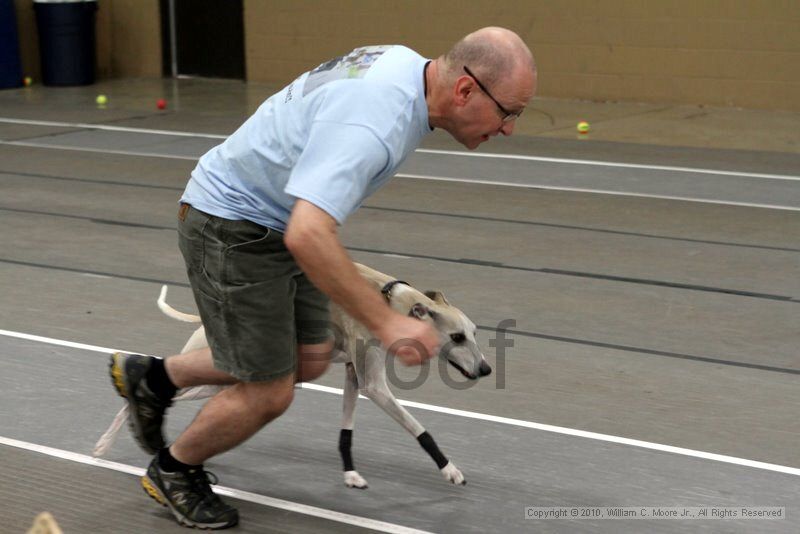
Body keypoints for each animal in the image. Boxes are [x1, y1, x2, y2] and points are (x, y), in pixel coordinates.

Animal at [96, 264, 490, 490]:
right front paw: (449, 469)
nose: (486, 369)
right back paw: (111, 434)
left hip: (225, 381)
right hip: (208, 380)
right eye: (457, 337)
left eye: (474, 332)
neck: (389, 300)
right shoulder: (374, 385)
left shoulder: (354, 375)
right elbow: (420, 429)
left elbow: (346, 433)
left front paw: (350, 474)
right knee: (151, 395)